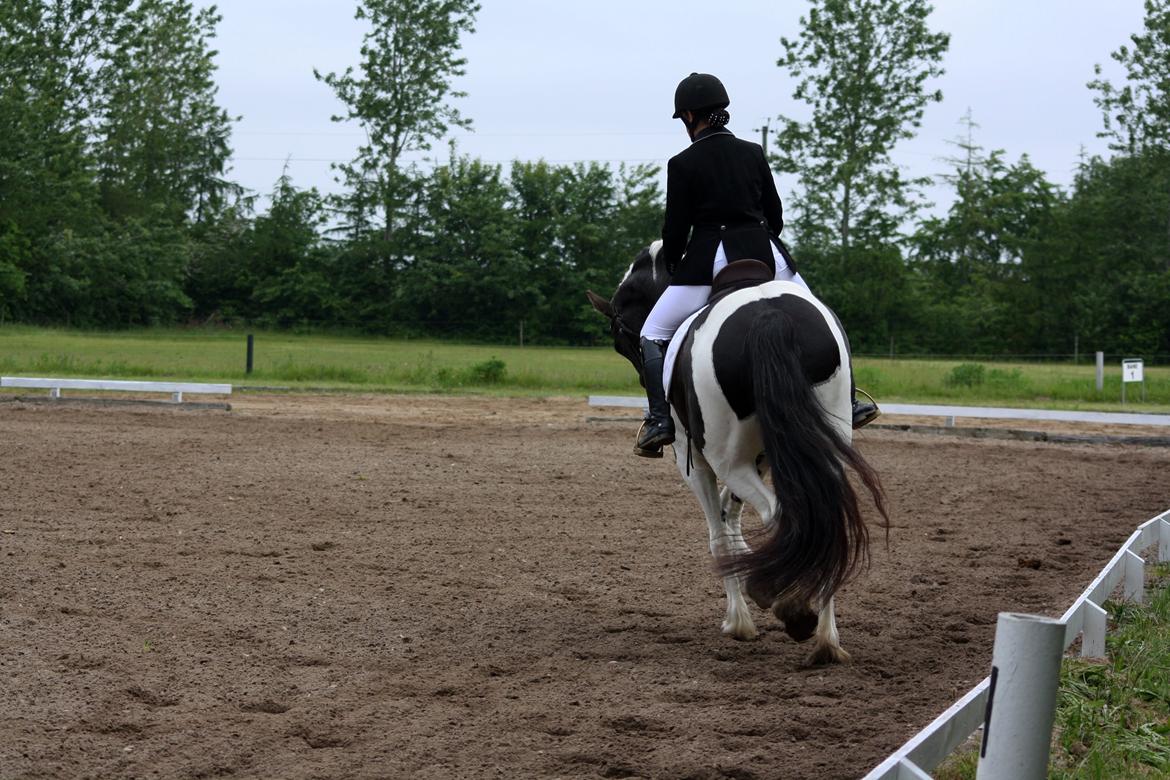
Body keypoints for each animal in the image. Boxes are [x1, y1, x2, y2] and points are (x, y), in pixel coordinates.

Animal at [585, 240, 884, 664]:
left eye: (620, 340)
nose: (648, 390)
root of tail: (769, 316)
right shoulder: (763, 458)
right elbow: (732, 514)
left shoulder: (694, 460)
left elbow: (719, 533)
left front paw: (739, 621)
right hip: (818, 442)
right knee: (823, 515)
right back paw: (827, 641)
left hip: (725, 458)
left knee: (783, 515)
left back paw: (792, 609)